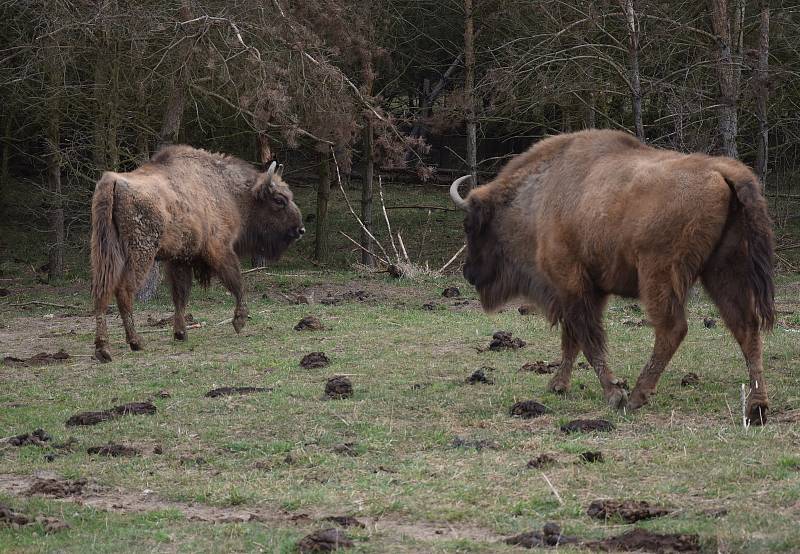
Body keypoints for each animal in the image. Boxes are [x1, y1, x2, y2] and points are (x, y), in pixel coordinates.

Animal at [90, 147, 304, 360]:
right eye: (279, 200)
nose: (300, 230)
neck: (231, 192)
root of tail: (112, 181)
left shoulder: (180, 259)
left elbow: (181, 295)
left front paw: (180, 333)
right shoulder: (219, 249)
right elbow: (237, 282)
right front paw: (240, 320)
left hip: (105, 252)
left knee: (102, 292)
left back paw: (103, 349)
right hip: (141, 252)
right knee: (124, 290)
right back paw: (135, 342)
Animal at [450, 129, 776, 422]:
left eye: (469, 225)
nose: (469, 273)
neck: (540, 194)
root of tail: (721, 169)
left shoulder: (571, 284)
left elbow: (587, 338)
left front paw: (614, 393)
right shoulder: (590, 290)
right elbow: (573, 339)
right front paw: (558, 385)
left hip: (658, 275)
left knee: (673, 329)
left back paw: (636, 397)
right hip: (724, 270)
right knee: (745, 327)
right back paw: (757, 408)